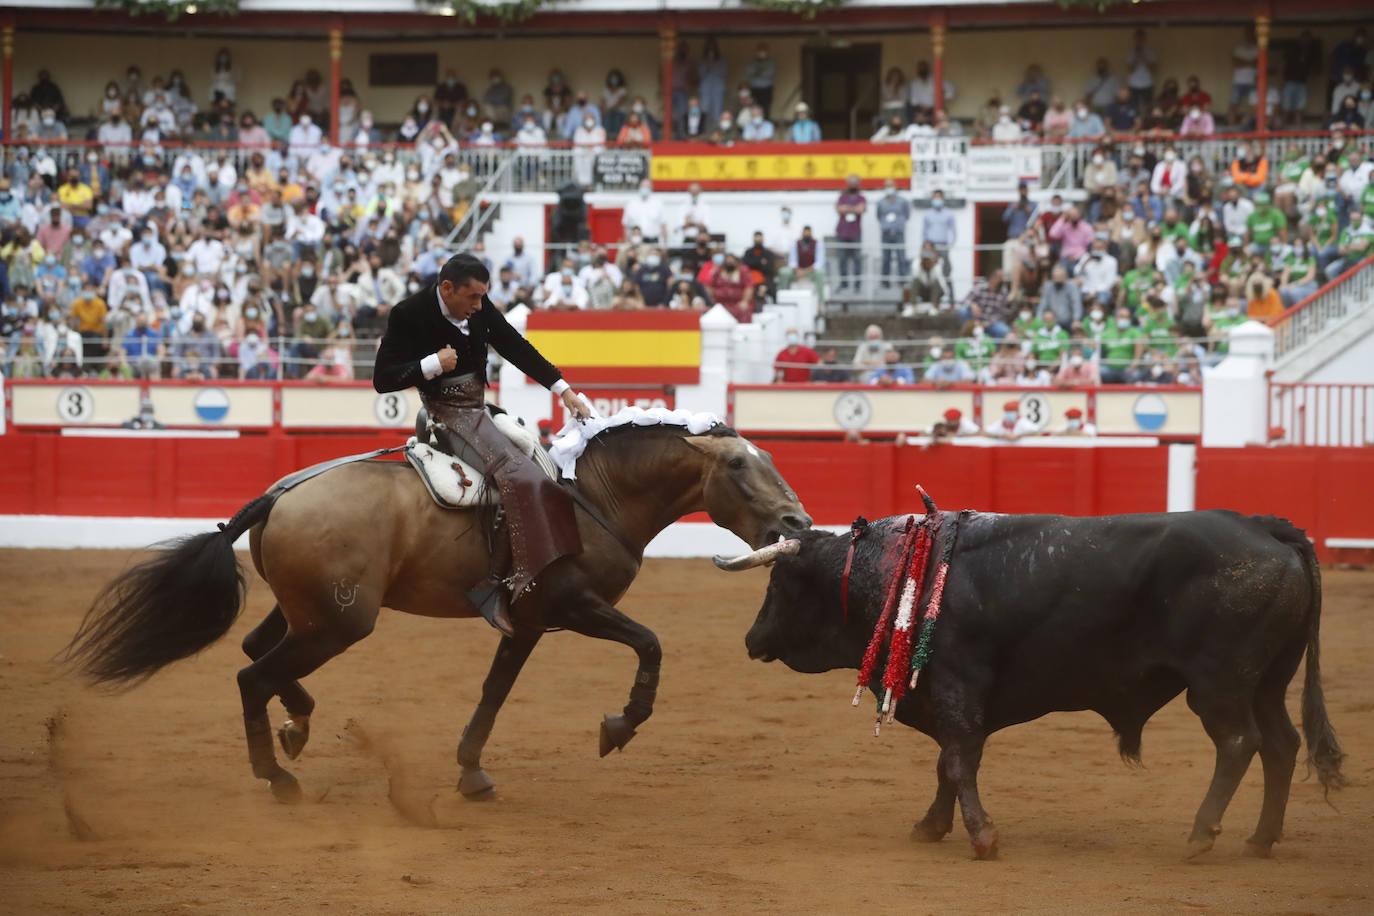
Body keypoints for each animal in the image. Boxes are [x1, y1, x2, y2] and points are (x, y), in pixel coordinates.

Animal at [64, 414, 807, 802]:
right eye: (738, 465)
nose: (796, 523)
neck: (592, 496)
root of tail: (279, 494)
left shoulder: (527, 623)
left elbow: (494, 691)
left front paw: (471, 770)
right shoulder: (572, 606)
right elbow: (650, 641)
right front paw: (618, 726)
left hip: (310, 614)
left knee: (258, 657)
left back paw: (297, 729)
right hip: (339, 622)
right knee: (252, 675)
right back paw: (277, 775)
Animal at [741, 508, 1341, 862]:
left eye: (781, 582)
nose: (750, 639)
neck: (904, 572)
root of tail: (1267, 528)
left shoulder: (958, 689)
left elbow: (958, 760)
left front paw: (982, 836)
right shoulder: (949, 699)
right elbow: (948, 763)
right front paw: (932, 826)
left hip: (1219, 684)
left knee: (1240, 742)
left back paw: (1201, 834)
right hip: (1267, 683)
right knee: (1282, 743)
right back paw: (1260, 839)